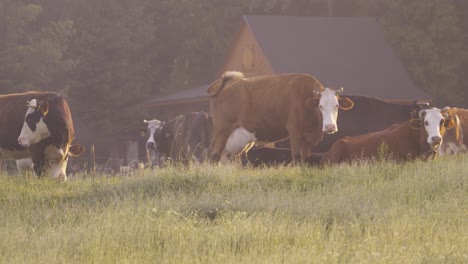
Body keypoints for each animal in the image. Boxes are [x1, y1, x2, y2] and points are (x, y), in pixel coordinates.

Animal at [207, 71, 352, 162]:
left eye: (337, 105)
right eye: (320, 106)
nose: (330, 127)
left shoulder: (308, 138)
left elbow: (305, 158)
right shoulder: (295, 131)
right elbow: (296, 156)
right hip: (222, 131)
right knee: (213, 155)